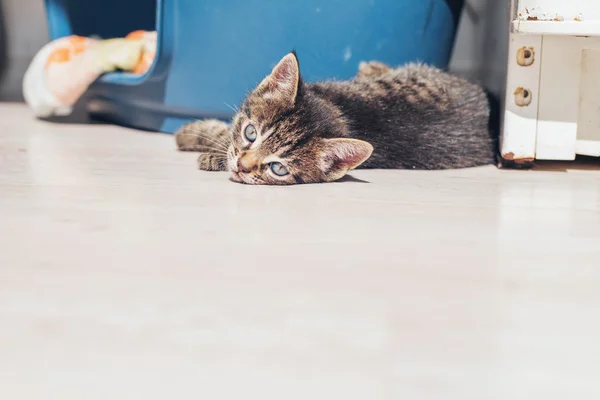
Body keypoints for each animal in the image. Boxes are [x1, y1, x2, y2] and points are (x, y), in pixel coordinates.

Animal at [175, 50, 496, 185]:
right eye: (251, 133)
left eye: (278, 168)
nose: (242, 167)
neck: (341, 109)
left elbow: (221, 134)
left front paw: (198, 140)